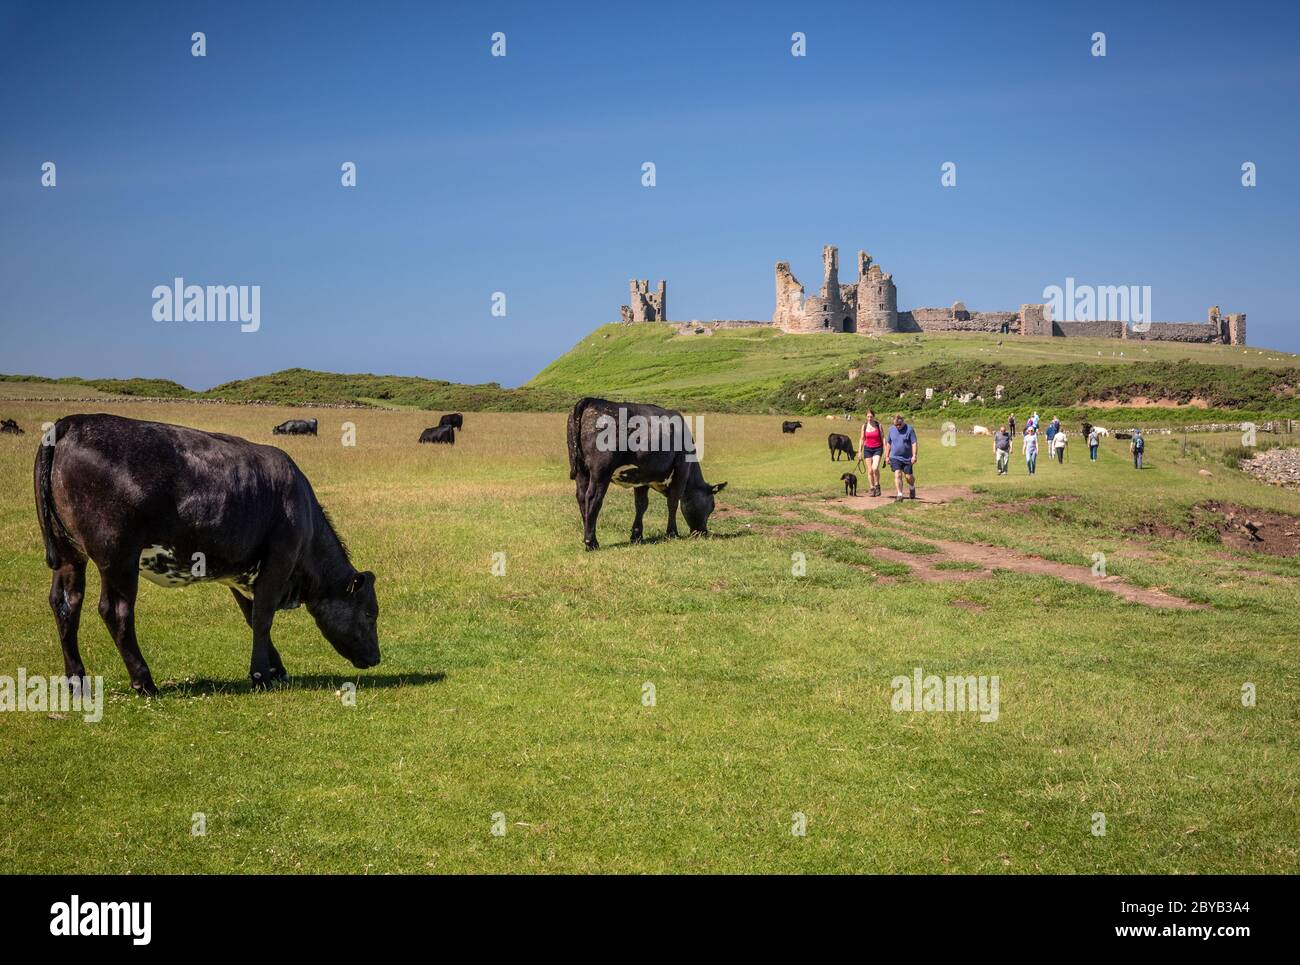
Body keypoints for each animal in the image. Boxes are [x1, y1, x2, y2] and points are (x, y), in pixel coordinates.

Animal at [34, 416, 379, 697]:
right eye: (369, 613)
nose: (376, 657)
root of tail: (69, 423)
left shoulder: (240, 573)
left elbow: (252, 617)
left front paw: (275, 667)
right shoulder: (279, 561)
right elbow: (262, 618)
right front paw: (261, 676)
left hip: (70, 554)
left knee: (66, 605)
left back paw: (77, 681)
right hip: (118, 556)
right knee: (115, 611)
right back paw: (144, 680)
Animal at [569, 397, 728, 551]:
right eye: (712, 505)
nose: (703, 532)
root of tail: (591, 400)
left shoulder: (641, 477)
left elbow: (641, 504)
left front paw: (637, 536)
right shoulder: (681, 471)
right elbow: (673, 502)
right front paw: (672, 533)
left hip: (582, 471)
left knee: (581, 497)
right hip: (601, 472)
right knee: (593, 498)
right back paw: (591, 542)